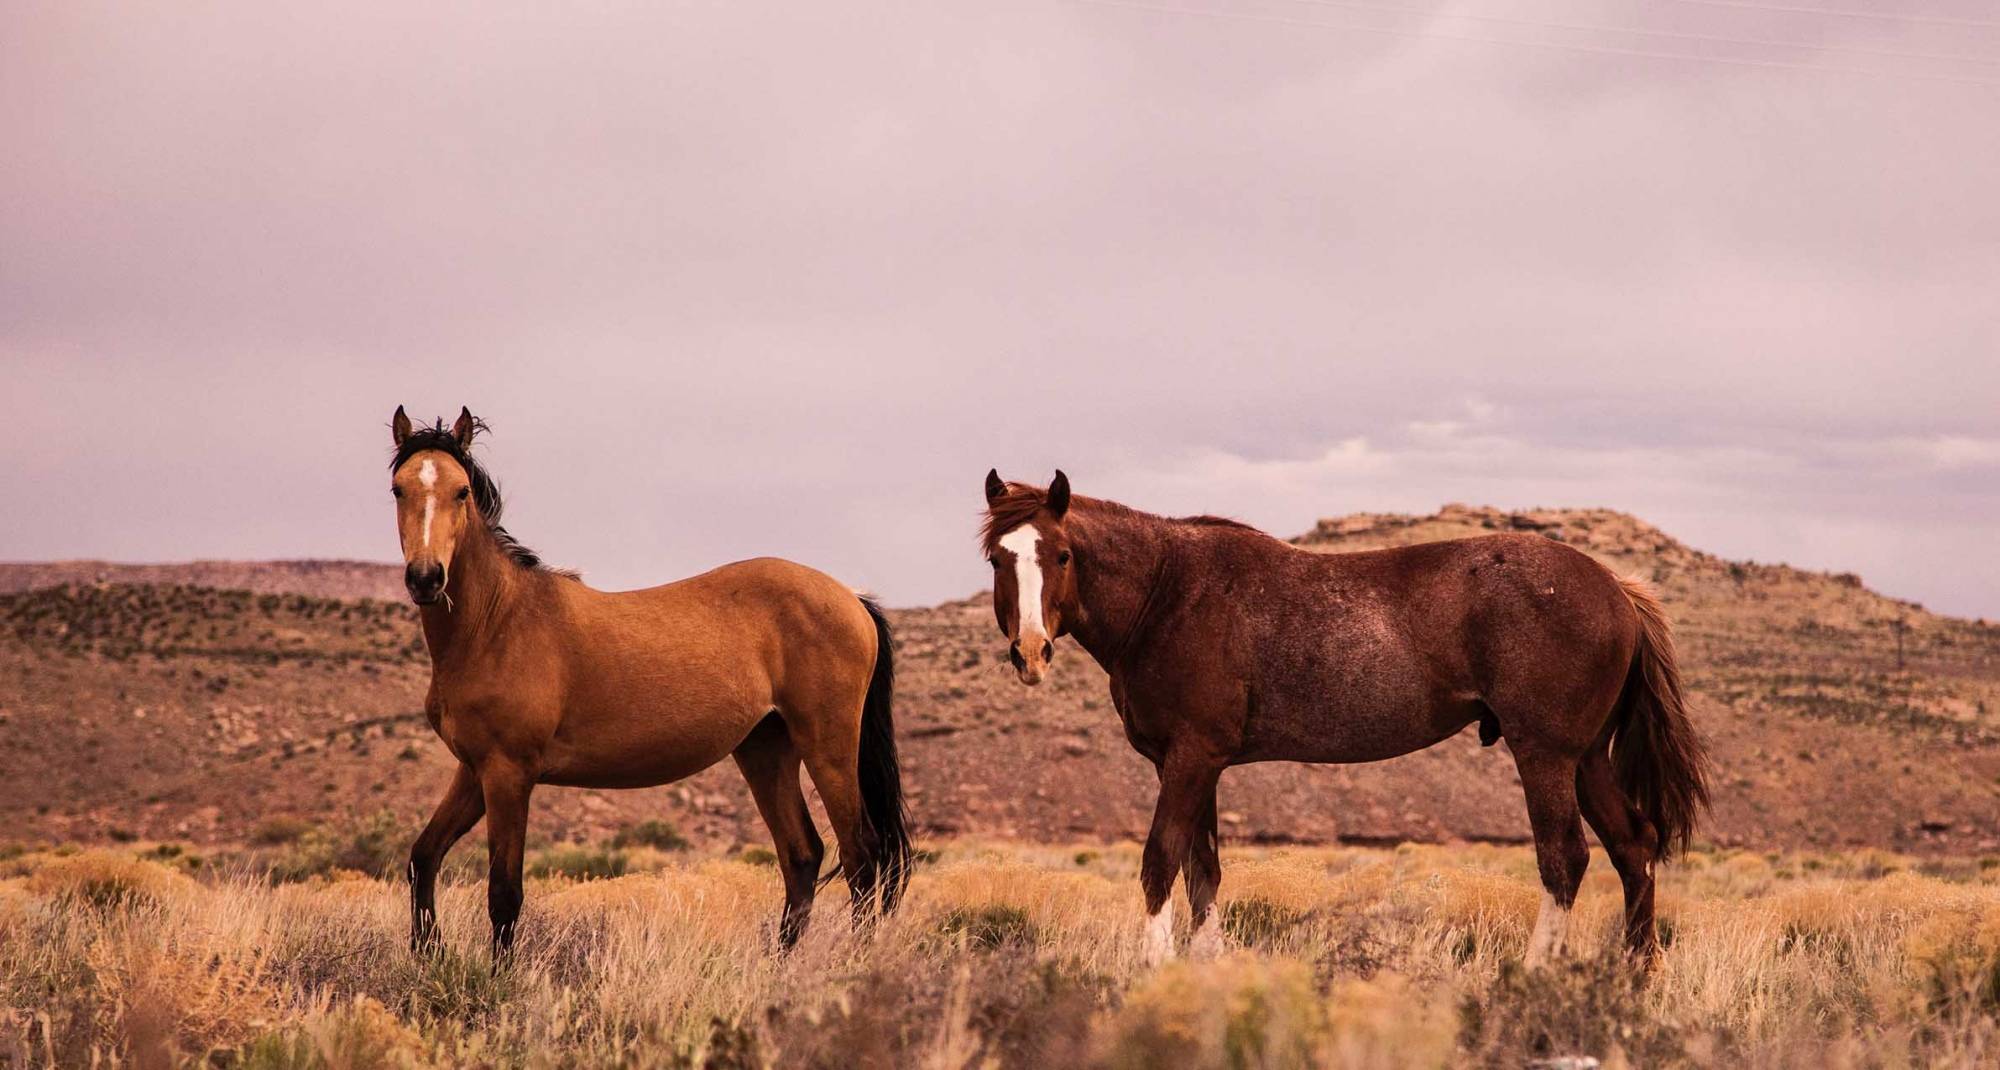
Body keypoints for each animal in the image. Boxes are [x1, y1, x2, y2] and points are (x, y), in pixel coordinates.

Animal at [384, 408, 916, 956]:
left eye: (462, 491)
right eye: (399, 489)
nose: (426, 578)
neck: (497, 622)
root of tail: (852, 598)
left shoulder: (508, 774)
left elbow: (504, 894)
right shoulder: (475, 771)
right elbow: (422, 858)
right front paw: (428, 952)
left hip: (828, 747)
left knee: (862, 857)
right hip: (765, 749)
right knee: (802, 855)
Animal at [976, 474, 1712, 968]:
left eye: (1061, 555)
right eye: (997, 559)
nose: (1031, 652)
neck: (1168, 593)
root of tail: (1617, 589)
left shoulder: (1189, 760)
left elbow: (1160, 860)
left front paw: (1155, 969)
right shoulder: (1198, 766)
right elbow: (1203, 871)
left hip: (1546, 756)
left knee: (1566, 859)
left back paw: (1536, 975)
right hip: (1586, 759)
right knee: (1634, 847)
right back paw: (1635, 977)